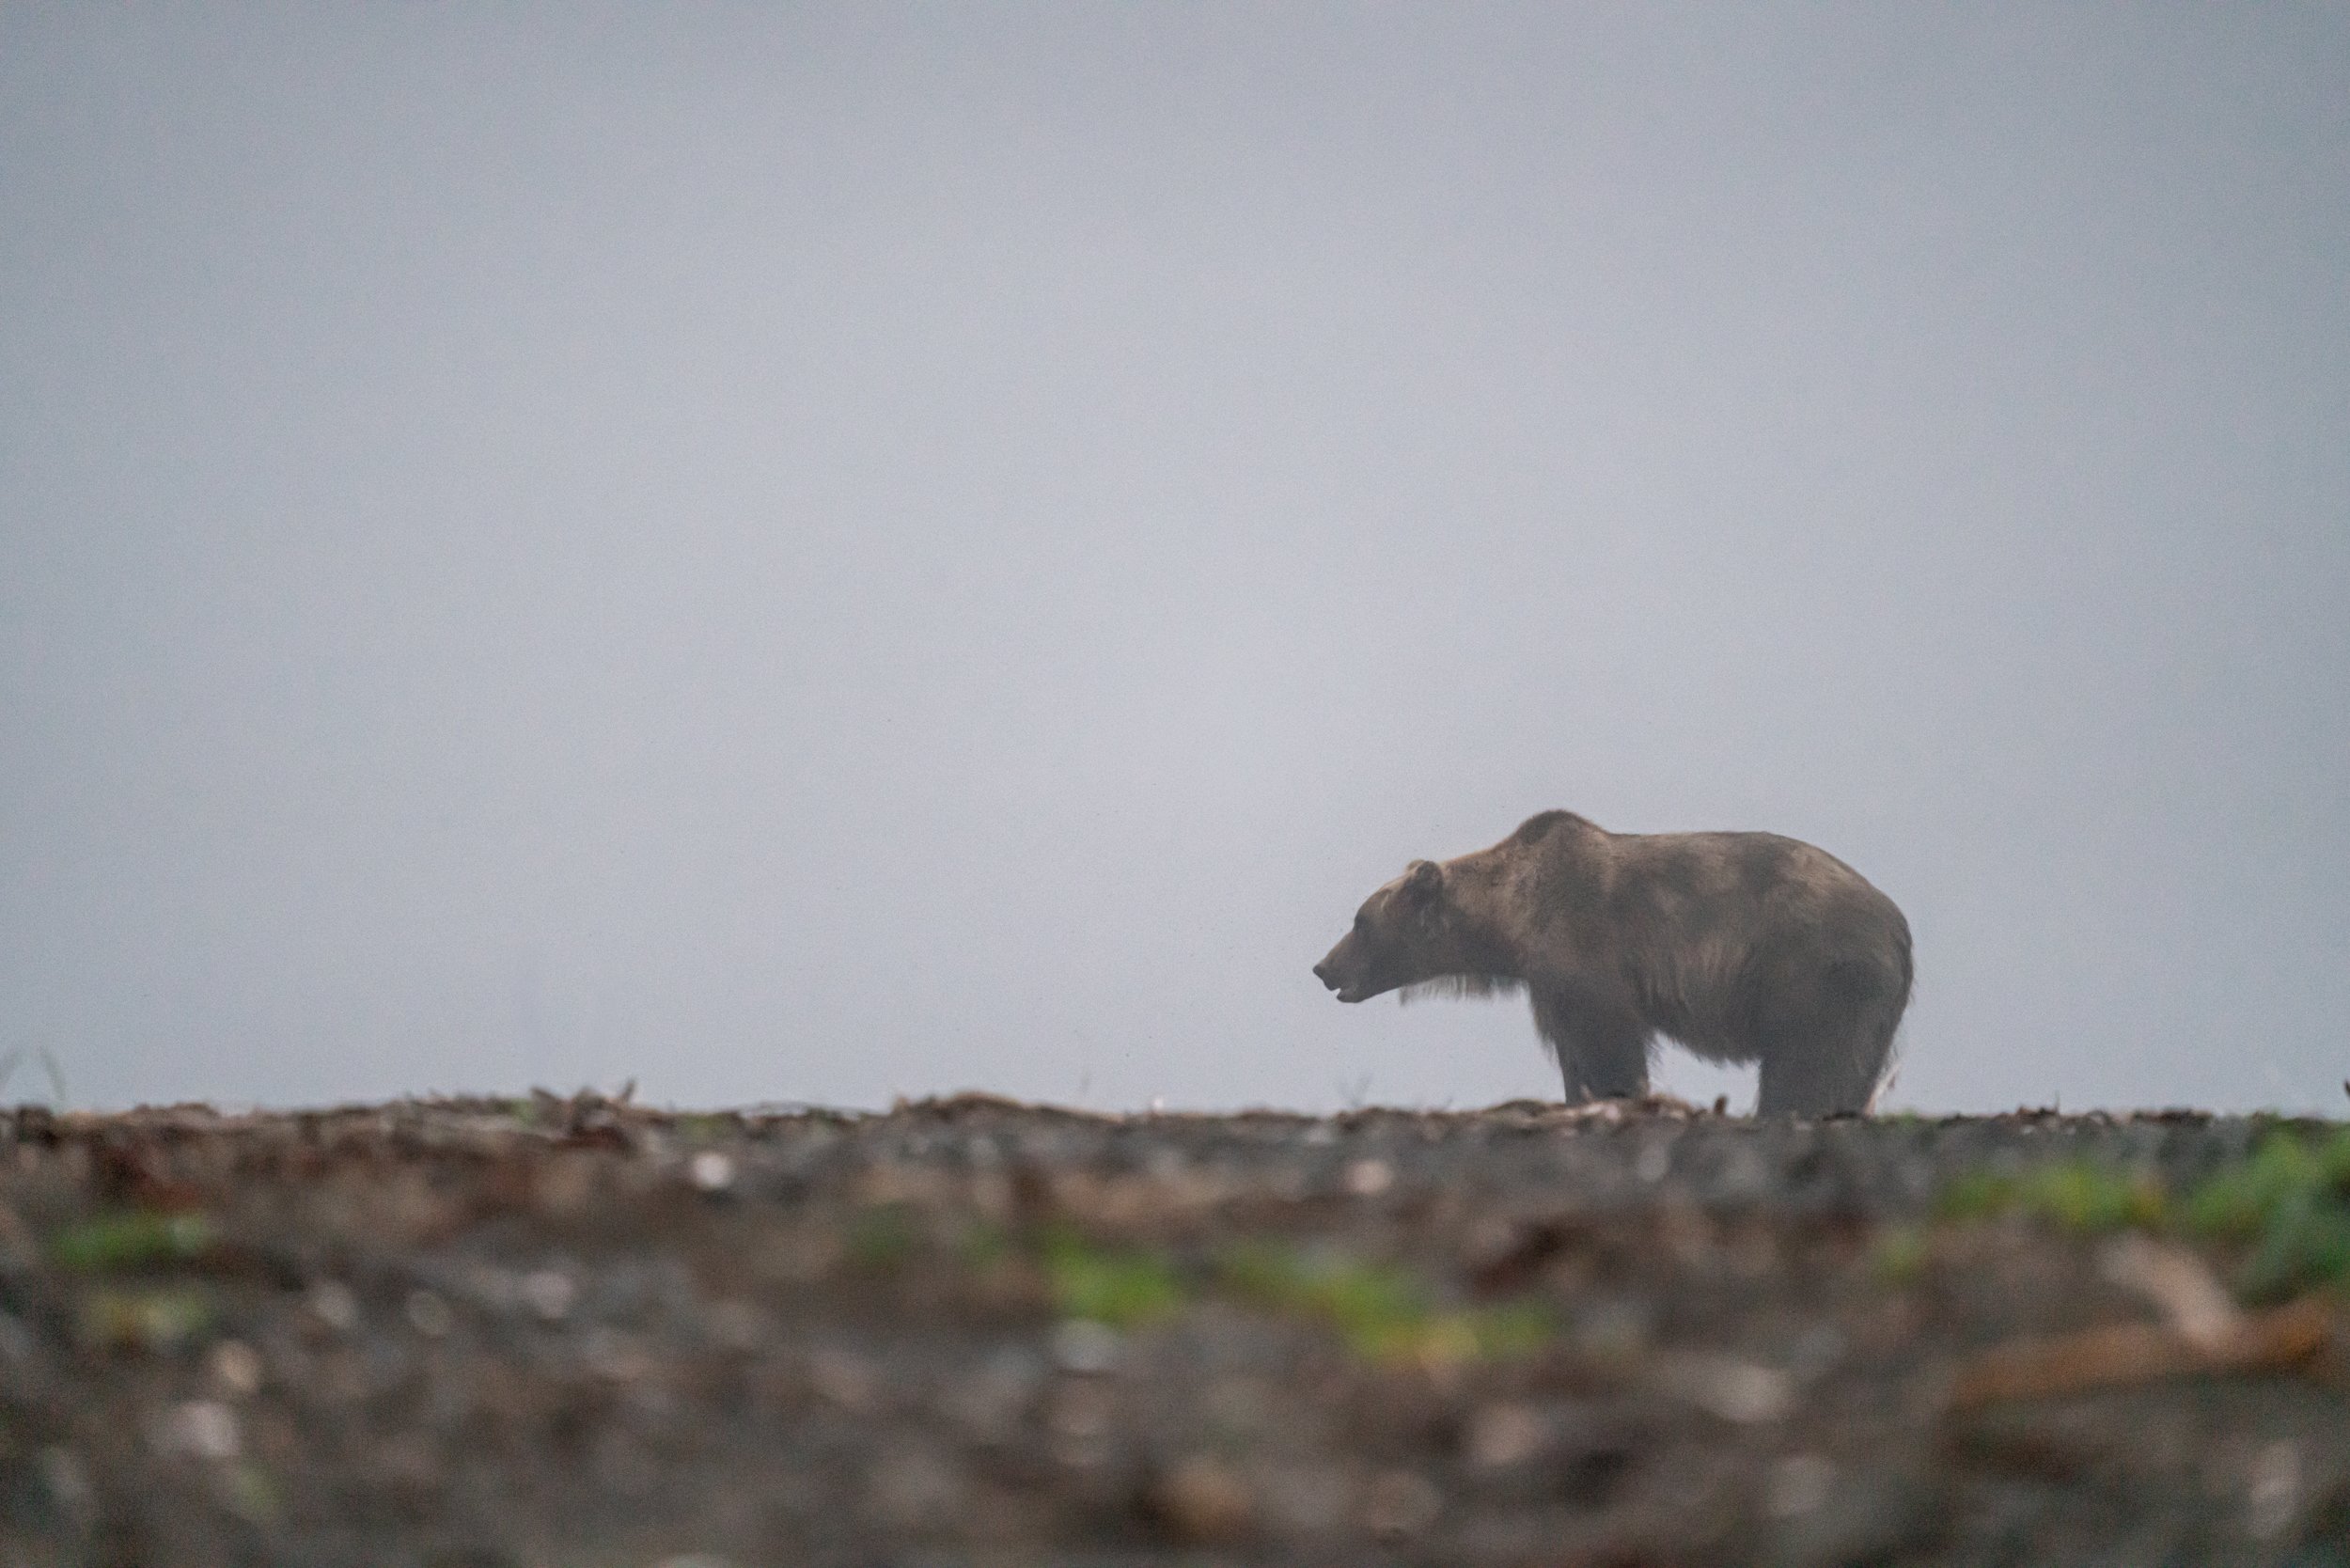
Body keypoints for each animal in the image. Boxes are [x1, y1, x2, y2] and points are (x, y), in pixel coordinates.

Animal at [1313, 811, 1912, 1116]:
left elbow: (1607, 1042)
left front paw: (1618, 1094)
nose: (1323, 967)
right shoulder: (1547, 982)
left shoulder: (1588, 948)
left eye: (1359, 922)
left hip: (1815, 968)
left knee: (1811, 1062)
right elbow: (1574, 1051)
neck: (1513, 919)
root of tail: (1899, 924)